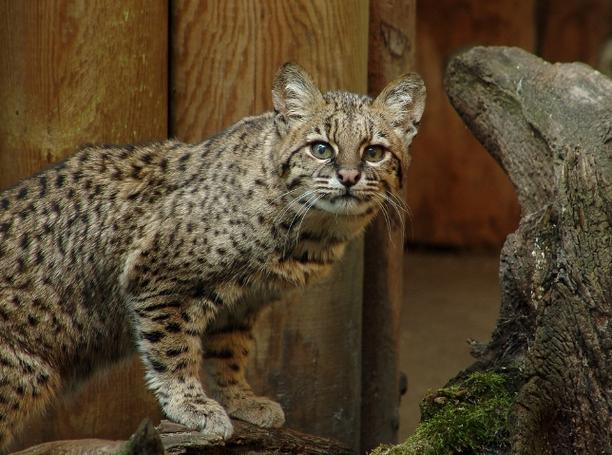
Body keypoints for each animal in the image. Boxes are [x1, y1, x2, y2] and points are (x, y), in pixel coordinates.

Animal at [0, 64, 426, 452]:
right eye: (321, 148)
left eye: (374, 153)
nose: (349, 178)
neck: (311, 226)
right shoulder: (156, 275)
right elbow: (172, 349)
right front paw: (191, 405)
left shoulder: (241, 302)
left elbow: (229, 352)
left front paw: (240, 400)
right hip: (23, 374)